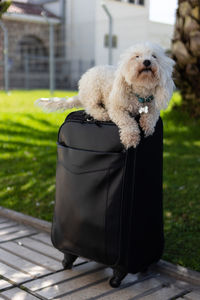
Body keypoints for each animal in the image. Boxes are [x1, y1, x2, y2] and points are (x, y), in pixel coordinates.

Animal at [36, 42, 175, 149]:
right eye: (136, 56)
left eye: (154, 56)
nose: (147, 61)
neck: (140, 93)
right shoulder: (116, 108)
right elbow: (128, 122)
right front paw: (131, 137)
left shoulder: (153, 105)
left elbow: (151, 116)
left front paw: (147, 126)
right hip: (94, 89)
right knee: (91, 107)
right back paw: (102, 114)